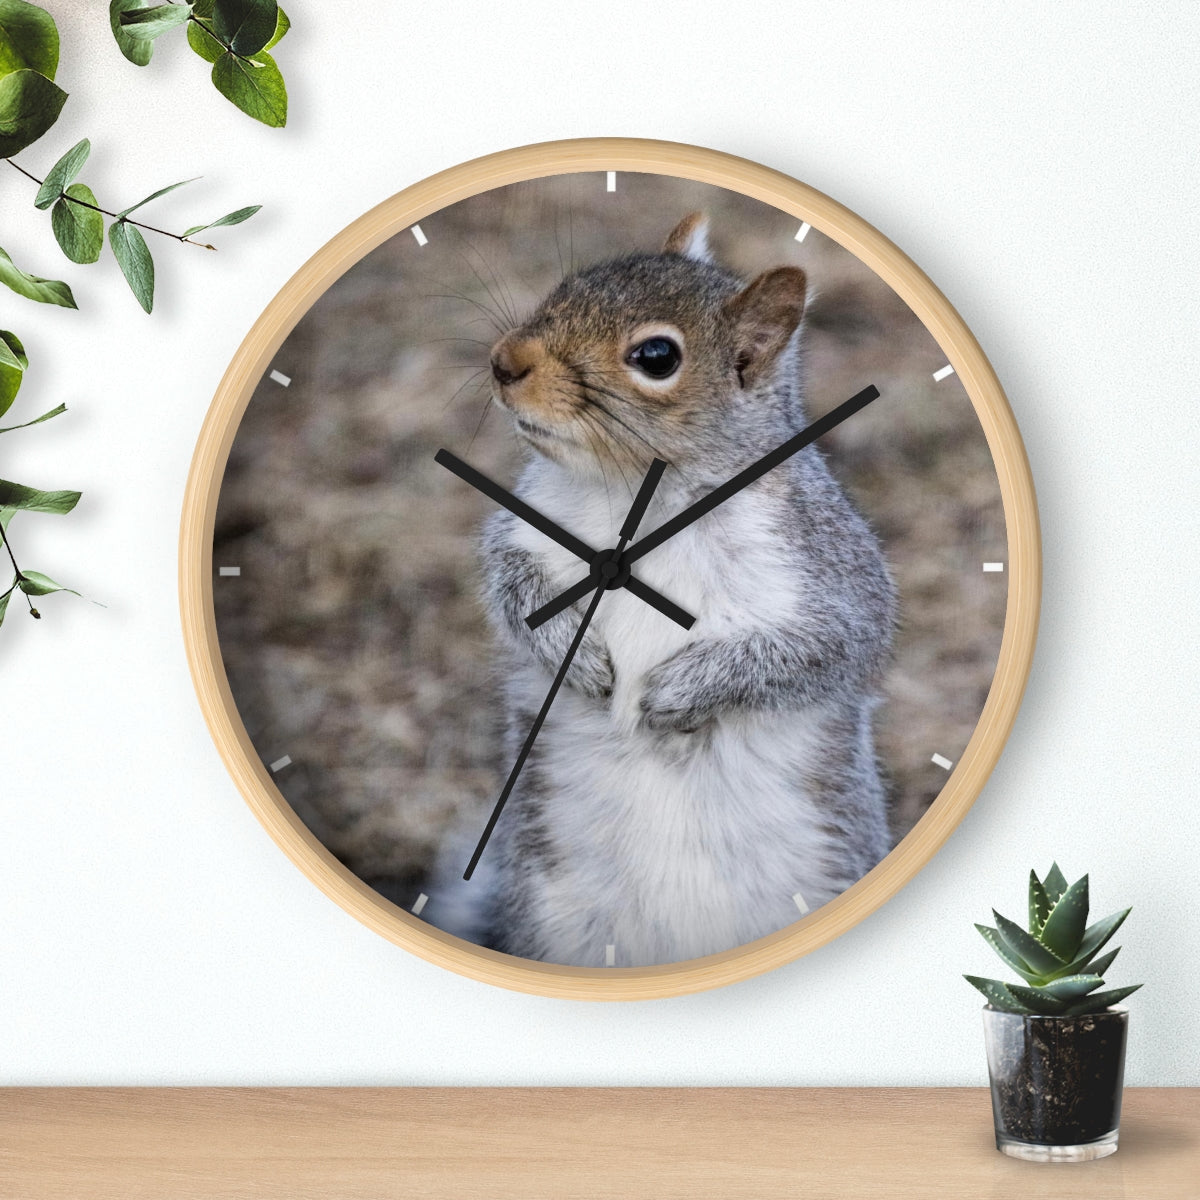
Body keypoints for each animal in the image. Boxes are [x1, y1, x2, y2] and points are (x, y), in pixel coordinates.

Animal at [438, 212, 897, 968]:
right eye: (567, 285)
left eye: (656, 357)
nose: (505, 363)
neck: (640, 493)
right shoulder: (525, 529)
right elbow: (509, 585)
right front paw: (576, 654)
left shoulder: (829, 572)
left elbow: (822, 649)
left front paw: (677, 692)